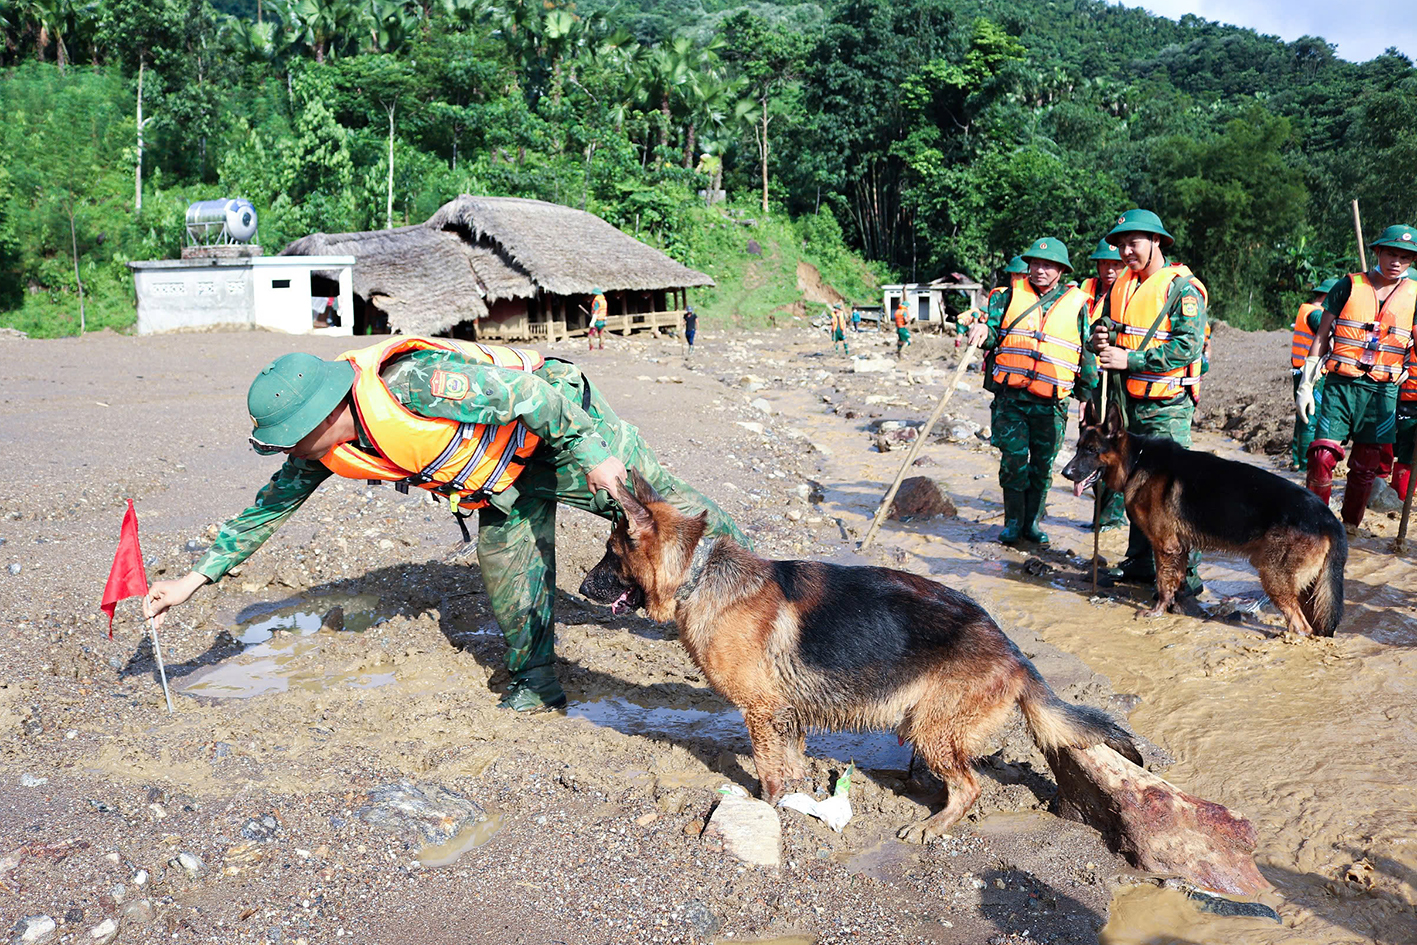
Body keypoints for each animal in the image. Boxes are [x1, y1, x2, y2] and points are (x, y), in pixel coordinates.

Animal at [575, 473, 1139, 844]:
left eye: (610, 552)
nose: (580, 588)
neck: (696, 574)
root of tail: (1015, 653)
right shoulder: (786, 711)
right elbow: (792, 758)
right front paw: (800, 789)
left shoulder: (759, 711)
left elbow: (768, 770)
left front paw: (769, 806)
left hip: (931, 730)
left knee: (970, 787)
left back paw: (931, 825)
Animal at [1065, 399, 1348, 634]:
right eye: (1078, 448)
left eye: (1091, 450)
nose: (1066, 473)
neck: (1136, 461)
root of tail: (1328, 518)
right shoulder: (1179, 549)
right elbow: (1176, 582)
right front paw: (1176, 608)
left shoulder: (1164, 546)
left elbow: (1162, 582)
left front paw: (1157, 612)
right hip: (1307, 588)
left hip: (1273, 576)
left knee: (1300, 625)